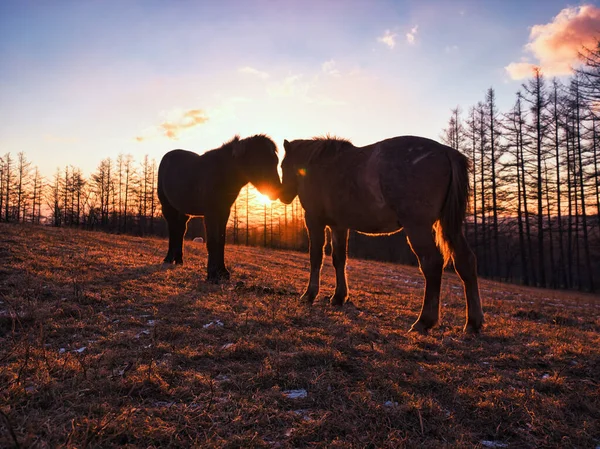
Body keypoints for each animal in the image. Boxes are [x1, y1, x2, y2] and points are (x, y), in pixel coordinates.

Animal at [158, 133, 282, 282]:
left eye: (276, 161)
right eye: (259, 161)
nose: (276, 191)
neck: (222, 174)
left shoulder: (223, 211)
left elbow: (221, 241)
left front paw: (223, 272)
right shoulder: (211, 212)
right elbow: (212, 241)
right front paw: (212, 275)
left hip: (182, 211)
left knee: (180, 230)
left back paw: (179, 260)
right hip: (167, 207)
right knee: (173, 230)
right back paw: (168, 258)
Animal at [280, 136, 482, 332]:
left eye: (282, 166)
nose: (283, 196)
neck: (320, 164)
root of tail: (446, 151)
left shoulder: (314, 221)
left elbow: (316, 257)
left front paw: (309, 294)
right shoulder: (339, 226)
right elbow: (339, 259)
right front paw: (338, 297)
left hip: (418, 227)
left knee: (432, 263)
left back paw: (424, 320)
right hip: (451, 226)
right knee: (466, 261)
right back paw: (473, 323)